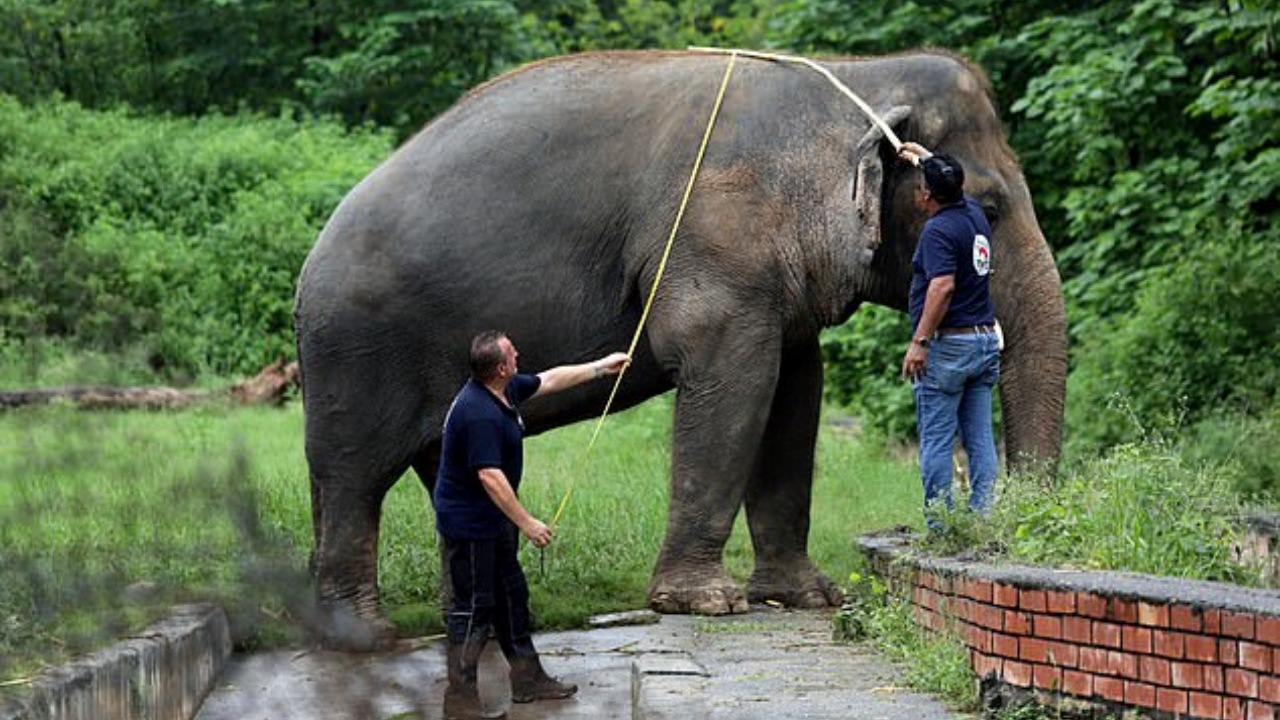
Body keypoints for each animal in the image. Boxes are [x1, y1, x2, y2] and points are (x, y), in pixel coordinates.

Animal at [294, 47, 1064, 648]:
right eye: (989, 208)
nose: (1014, 524)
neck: (853, 77)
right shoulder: (715, 242)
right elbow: (737, 382)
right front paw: (707, 603)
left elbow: (794, 397)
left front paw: (807, 596)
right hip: (357, 353)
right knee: (355, 478)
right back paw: (367, 637)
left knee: (432, 479)